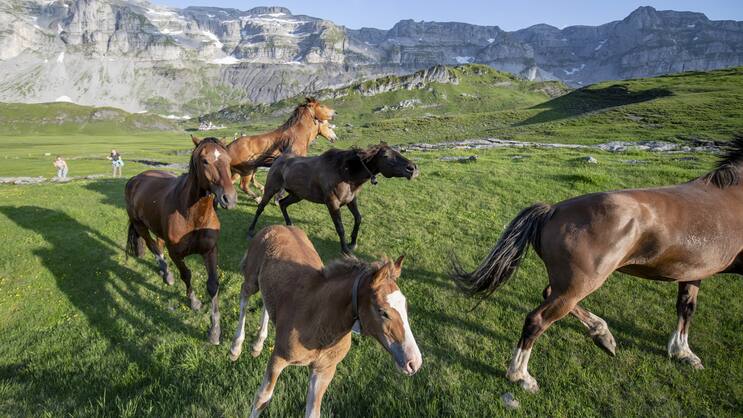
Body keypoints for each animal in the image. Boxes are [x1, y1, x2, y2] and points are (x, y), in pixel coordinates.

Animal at [124, 136, 237, 345]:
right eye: (205, 161)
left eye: (228, 160)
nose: (229, 199)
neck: (193, 215)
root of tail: (135, 179)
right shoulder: (175, 253)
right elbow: (186, 275)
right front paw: (194, 302)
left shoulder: (210, 251)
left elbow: (213, 285)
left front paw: (214, 331)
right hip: (140, 226)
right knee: (153, 247)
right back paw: (167, 274)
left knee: (158, 244)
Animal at [229, 225, 422, 418]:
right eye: (383, 312)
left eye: (405, 307)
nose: (414, 362)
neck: (322, 323)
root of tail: (277, 226)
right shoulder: (278, 358)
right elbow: (262, 399)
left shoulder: (324, 370)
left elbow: (313, 412)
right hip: (252, 279)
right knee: (244, 298)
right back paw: (236, 347)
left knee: (266, 302)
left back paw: (258, 345)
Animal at [246, 142, 419, 254]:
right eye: (385, 155)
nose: (412, 169)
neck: (346, 172)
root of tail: (278, 160)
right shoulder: (332, 203)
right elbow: (340, 227)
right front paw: (346, 250)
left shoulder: (351, 200)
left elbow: (358, 218)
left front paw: (353, 243)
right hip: (271, 189)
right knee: (261, 207)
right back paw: (251, 230)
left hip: (297, 195)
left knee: (283, 204)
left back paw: (290, 226)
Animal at [451, 136, 743, 393]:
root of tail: (552, 210)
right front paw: (683, 351)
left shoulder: (694, 270)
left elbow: (686, 308)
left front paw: (682, 352)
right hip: (580, 283)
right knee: (537, 319)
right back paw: (521, 376)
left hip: (571, 283)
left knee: (549, 293)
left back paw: (603, 335)